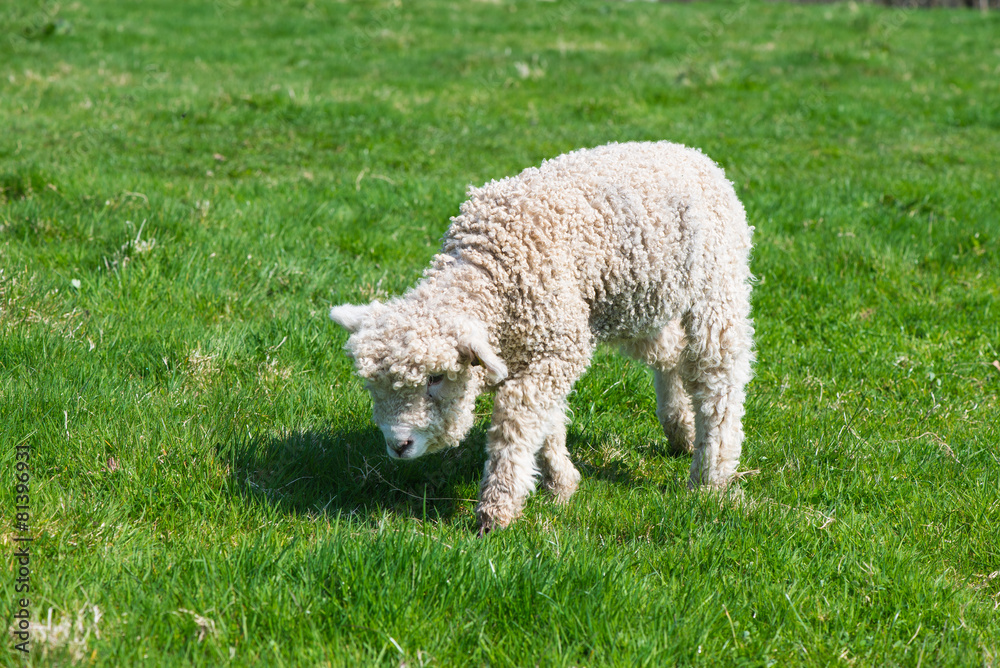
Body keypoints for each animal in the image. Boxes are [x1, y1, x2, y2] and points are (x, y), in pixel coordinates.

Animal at [330, 141, 754, 535]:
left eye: (436, 378)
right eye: (372, 387)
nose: (398, 445)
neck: (488, 271)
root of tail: (691, 153)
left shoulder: (557, 347)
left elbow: (515, 417)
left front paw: (497, 508)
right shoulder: (534, 349)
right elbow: (546, 421)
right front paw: (561, 483)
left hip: (717, 286)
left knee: (717, 377)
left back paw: (710, 477)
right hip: (645, 299)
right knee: (670, 354)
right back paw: (681, 432)